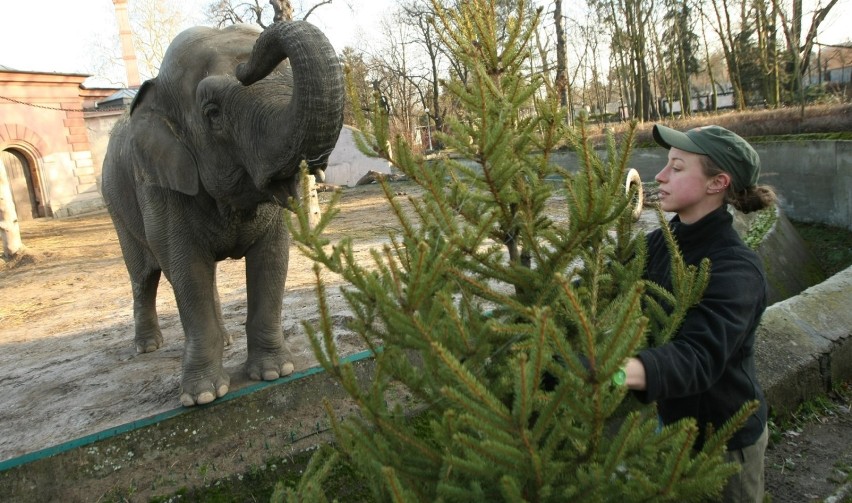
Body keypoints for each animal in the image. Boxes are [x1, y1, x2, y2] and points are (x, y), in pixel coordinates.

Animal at [102, 19, 346, 408]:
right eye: (213, 113)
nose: (247, 67)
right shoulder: (160, 186)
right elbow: (187, 270)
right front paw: (202, 396)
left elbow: (272, 259)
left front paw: (275, 372)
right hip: (117, 210)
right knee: (143, 276)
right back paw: (147, 346)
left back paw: (225, 338)